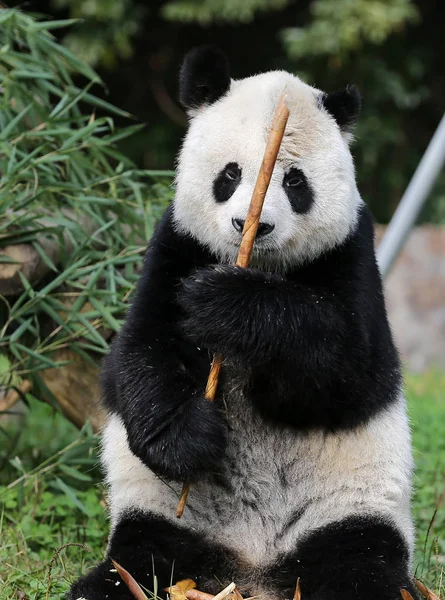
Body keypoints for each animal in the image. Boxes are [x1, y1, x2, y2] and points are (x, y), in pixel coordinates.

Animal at [67, 47, 418, 600]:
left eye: (294, 181)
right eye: (230, 174)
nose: (251, 225)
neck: (258, 266)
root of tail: (249, 571)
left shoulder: (352, 252)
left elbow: (349, 371)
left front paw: (228, 306)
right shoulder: (177, 245)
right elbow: (140, 354)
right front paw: (191, 437)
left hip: (345, 511)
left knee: (360, 565)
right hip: (168, 522)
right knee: (133, 567)